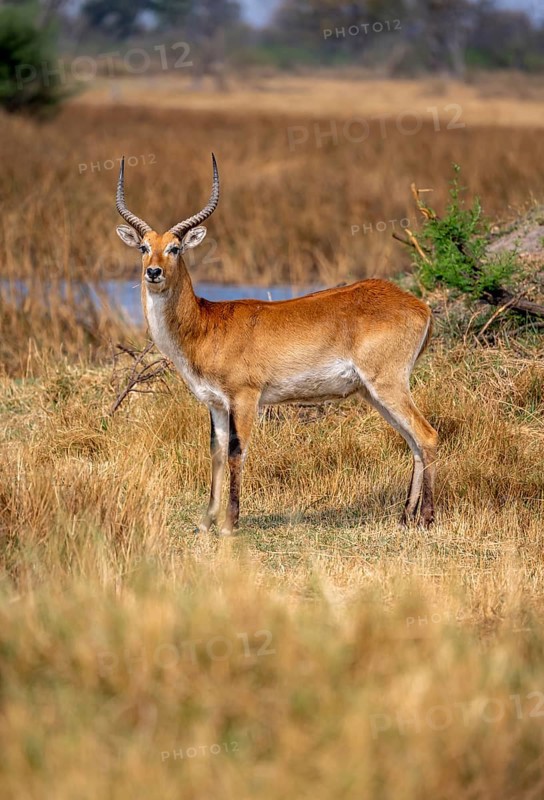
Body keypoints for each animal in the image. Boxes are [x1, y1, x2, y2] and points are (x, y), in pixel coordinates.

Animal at [115, 155, 438, 534]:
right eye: (143, 247)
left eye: (175, 248)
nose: (153, 272)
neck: (205, 325)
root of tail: (419, 305)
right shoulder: (216, 404)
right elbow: (216, 452)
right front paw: (206, 523)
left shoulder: (245, 397)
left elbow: (237, 451)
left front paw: (229, 523)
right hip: (373, 392)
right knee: (412, 442)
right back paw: (405, 518)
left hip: (388, 384)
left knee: (427, 436)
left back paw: (427, 518)